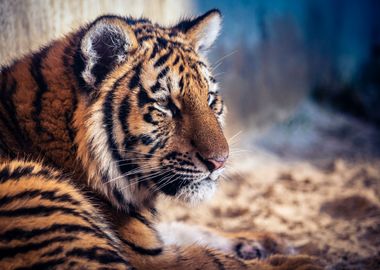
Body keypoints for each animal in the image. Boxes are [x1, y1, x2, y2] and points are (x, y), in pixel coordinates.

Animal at [0, 9, 324, 268]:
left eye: (210, 98)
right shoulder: (150, 258)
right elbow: (222, 261)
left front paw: (269, 241)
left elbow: (189, 230)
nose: (219, 162)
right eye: (166, 105)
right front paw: (303, 259)